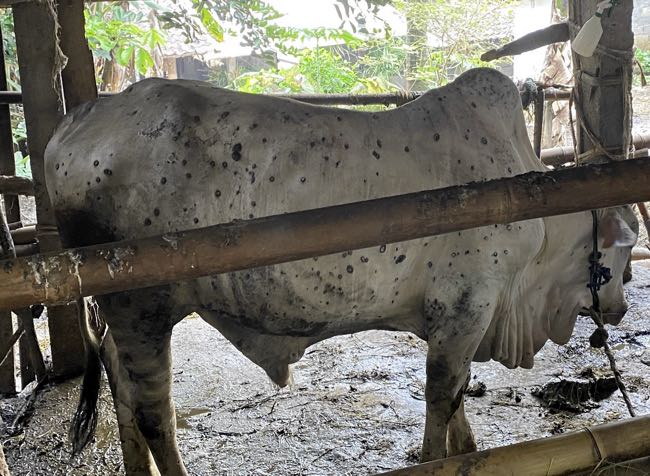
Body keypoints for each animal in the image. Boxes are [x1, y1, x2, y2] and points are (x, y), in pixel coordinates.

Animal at [44, 68, 638, 475]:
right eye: (621, 256)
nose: (622, 304)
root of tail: (80, 118)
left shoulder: (454, 320)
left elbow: (457, 397)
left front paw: (470, 451)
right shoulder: (467, 307)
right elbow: (442, 393)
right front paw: (438, 458)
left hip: (128, 316)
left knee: (121, 388)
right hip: (142, 308)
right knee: (153, 413)